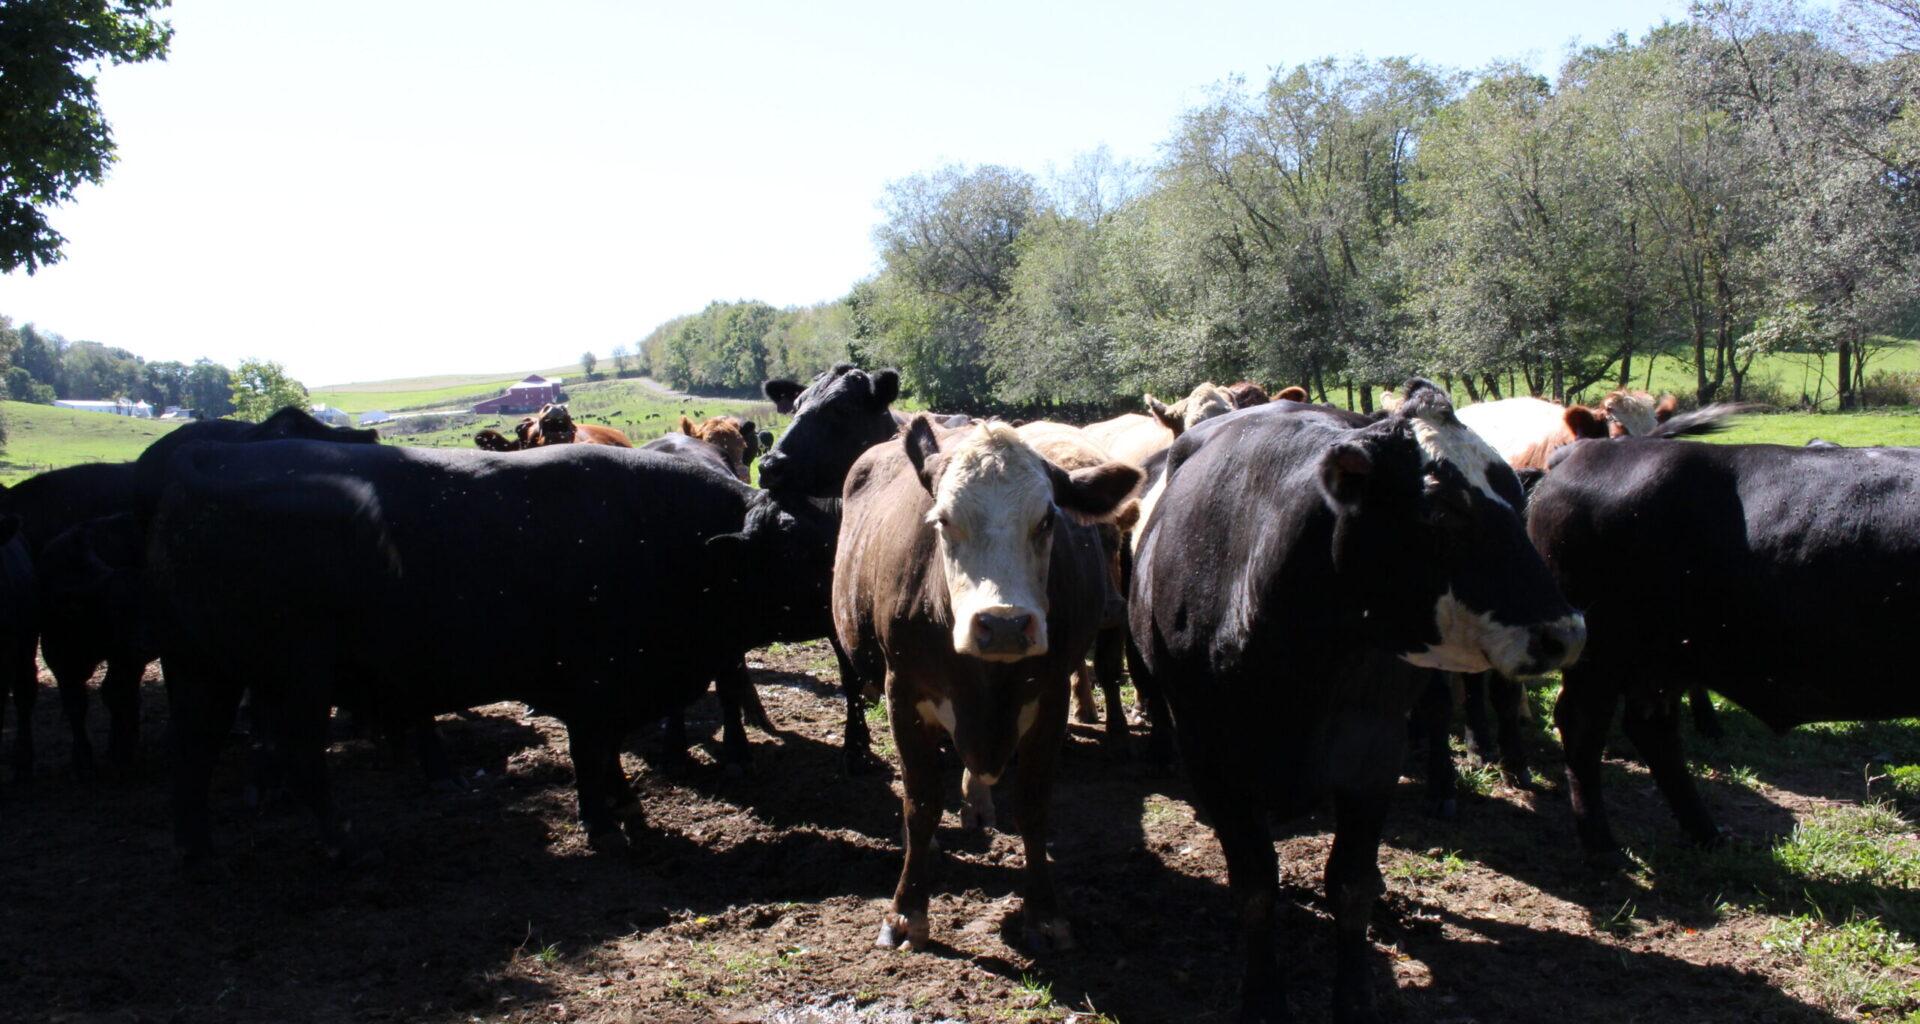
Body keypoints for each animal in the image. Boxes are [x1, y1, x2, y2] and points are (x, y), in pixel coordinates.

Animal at [148, 440, 839, 867]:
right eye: (804, 548)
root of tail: (199, 459)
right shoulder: (594, 687)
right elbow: (592, 755)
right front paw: (606, 825)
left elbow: (610, 757)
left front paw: (626, 810)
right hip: (296, 679)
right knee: (298, 760)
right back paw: (345, 847)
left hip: (203, 671)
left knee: (189, 752)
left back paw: (197, 852)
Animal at [835, 416, 1139, 952]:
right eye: (942, 520)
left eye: (1047, 520)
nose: (1003, 624)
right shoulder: (903, 694)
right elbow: (920, 802)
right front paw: (906, 912)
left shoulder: (1050, 699)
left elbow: (1033, 805)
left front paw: (1044, 915)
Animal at [1129, 380, 1585, 1022]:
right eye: (1443, 510)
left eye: (1518, 499)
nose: (1565, 633)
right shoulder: (1210, 757)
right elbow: (1255, 886)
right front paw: (1263, 995)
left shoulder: (1373, 753)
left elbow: (1348, 882)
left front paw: (1353, 996)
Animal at [1528, 438, 1920, 864]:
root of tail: (1583, 450)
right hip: (1603, 655)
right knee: (1583, 729)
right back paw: (1602, 847)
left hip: (1661, 663)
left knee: (1653, 731)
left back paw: (1706, 833)